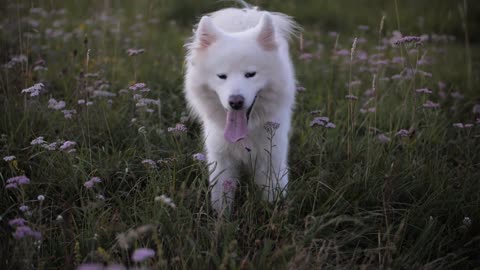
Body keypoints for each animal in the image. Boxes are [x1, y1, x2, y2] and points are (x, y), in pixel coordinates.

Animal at [184, 3, 296, 211]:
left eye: (250, 74)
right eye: (222, 76)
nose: (235, 101)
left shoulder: (272, 160)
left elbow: (271, 195)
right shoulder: (221, 160)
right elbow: (222, 197)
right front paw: (221, 218)